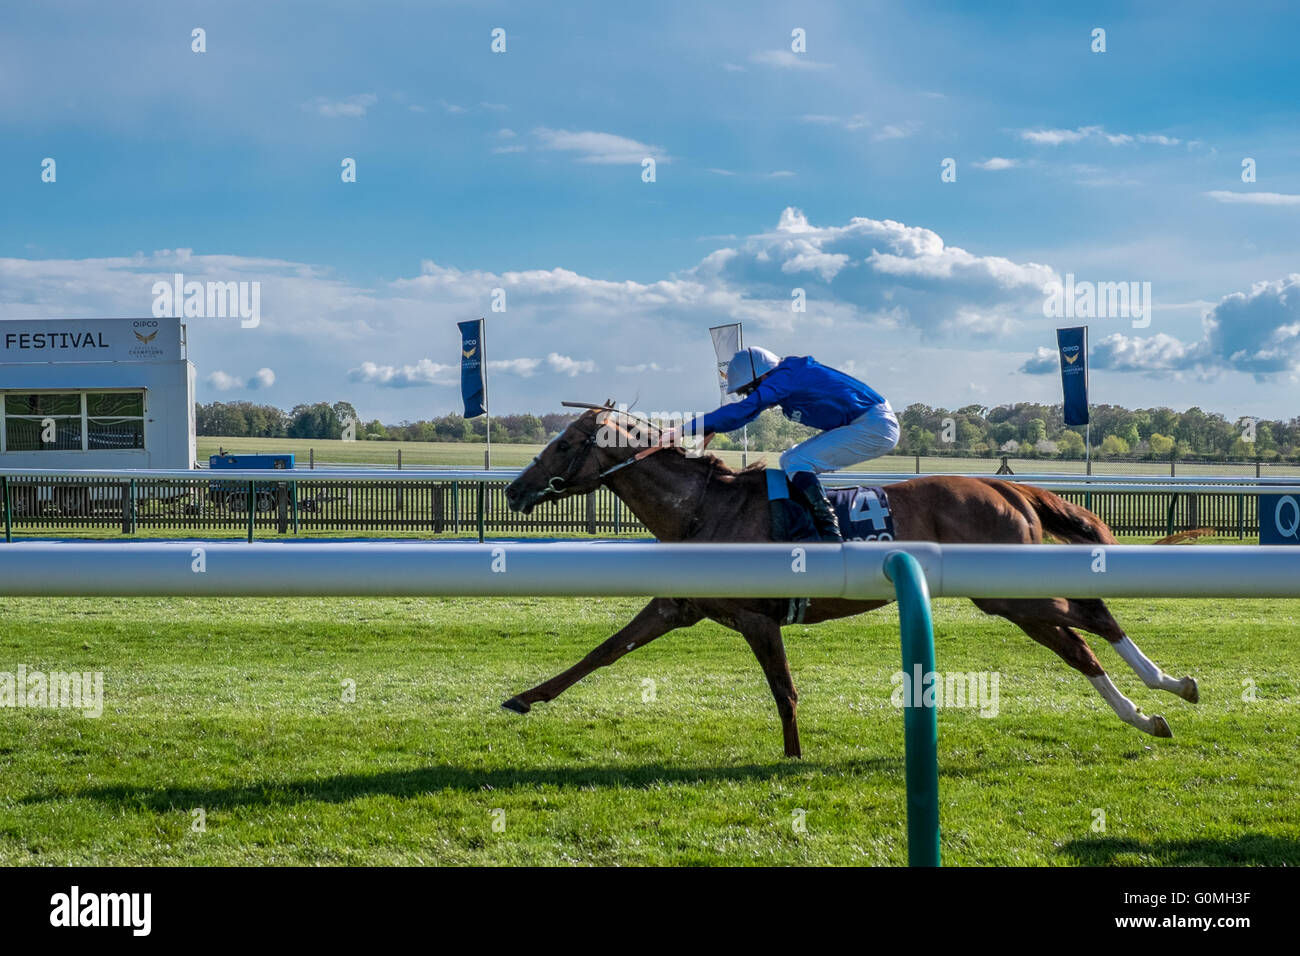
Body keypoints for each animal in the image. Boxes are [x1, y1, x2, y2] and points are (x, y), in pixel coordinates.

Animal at [502, 406, 1199, 758]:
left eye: (563, 445)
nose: (514, 491)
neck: (705, 508)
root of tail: (1005, 485)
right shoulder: (679, 604)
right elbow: (601, 653)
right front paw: (524, 697)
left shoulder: (756, 618)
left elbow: (783, 690)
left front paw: (792, 757)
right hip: (1009, 600)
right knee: (1076, 643)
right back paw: (1145, 716)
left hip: (1003, 592)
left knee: (1092, 617)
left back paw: (1172, 685)